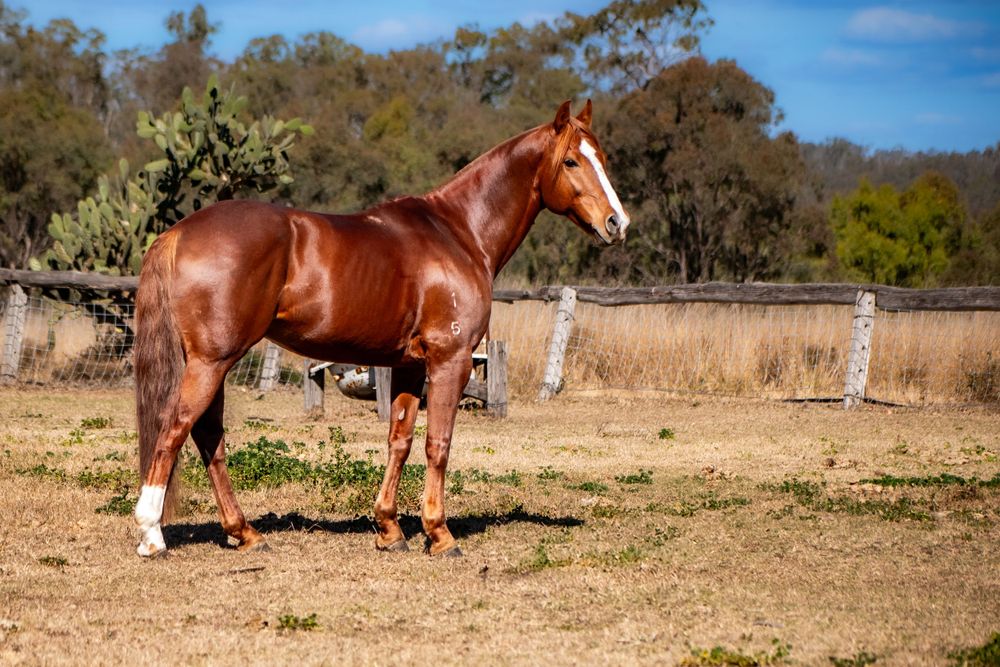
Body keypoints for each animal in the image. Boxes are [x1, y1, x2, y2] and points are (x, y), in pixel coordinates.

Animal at [133, 100, 630, 558]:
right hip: (212, 361)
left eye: (602, 157)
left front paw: (390, 530)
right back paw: (152, 535)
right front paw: (439, 534)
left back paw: (245, 533)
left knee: (208, 438)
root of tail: (177, 232)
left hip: (213, 362)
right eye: (571, 161)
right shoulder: (451, 360)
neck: (458, 233)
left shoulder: (409, 366)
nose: (617, 223)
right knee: (175, 430)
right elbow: (438, 444)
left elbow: (400, 441)